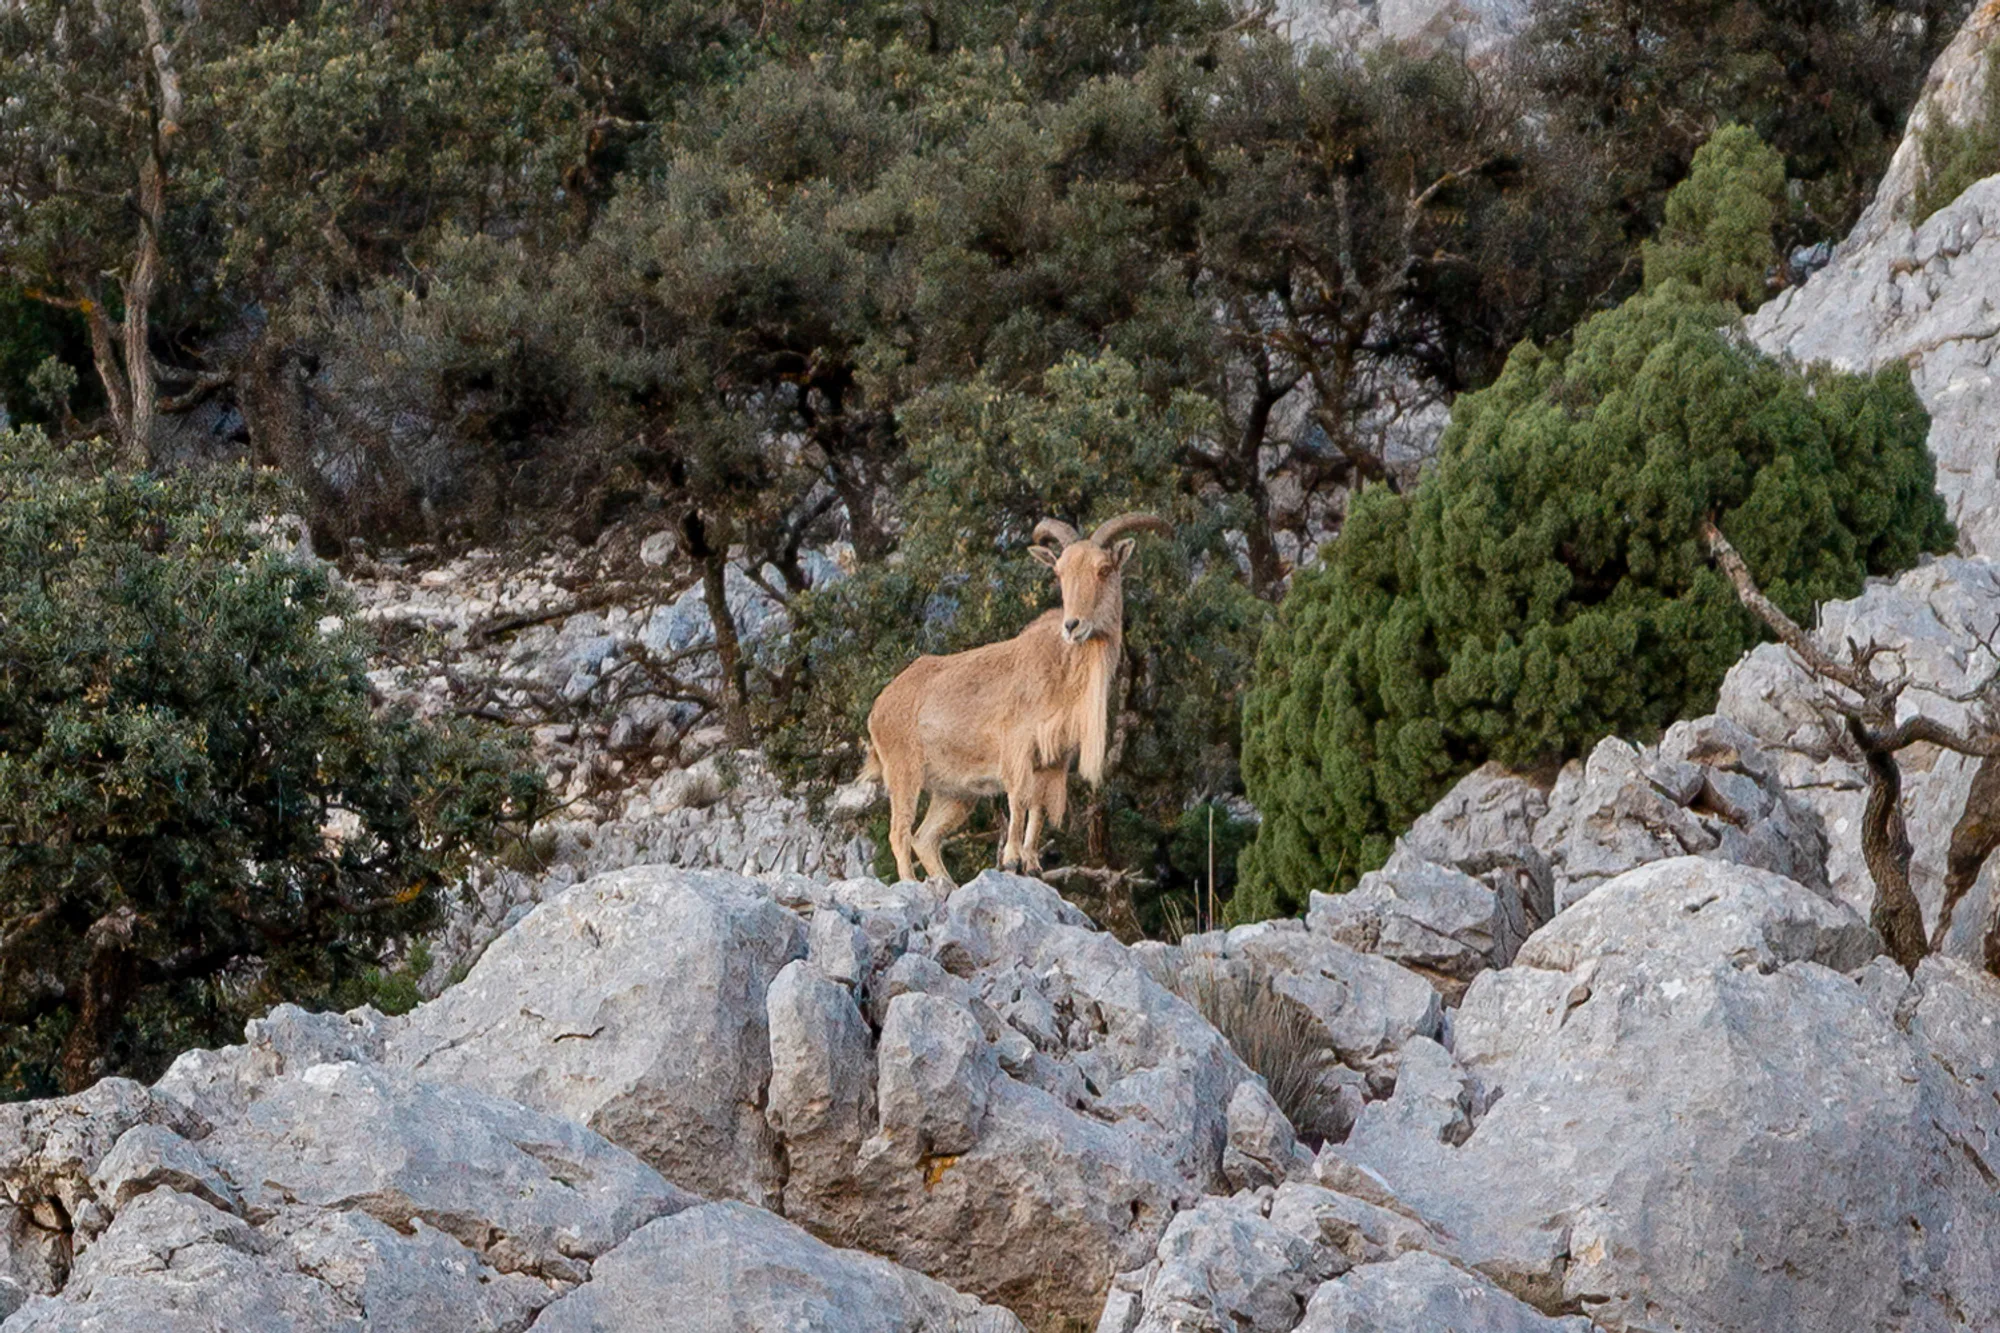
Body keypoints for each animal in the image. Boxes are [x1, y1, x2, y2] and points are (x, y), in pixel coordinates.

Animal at [860, 512, 1172, 884]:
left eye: (1104, 569)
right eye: (1059, 572)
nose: (1072, 625)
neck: (1063, 668)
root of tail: (880, 705)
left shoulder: (1053, 761)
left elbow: (1038, 807)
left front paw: (1032, 864)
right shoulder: (1019, 748)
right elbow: (1019, 799)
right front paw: (1010, 860)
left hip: (954, 792)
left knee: (925, 837)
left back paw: (947, 884)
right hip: (903, 771)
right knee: (900, 833)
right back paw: (912, 884)